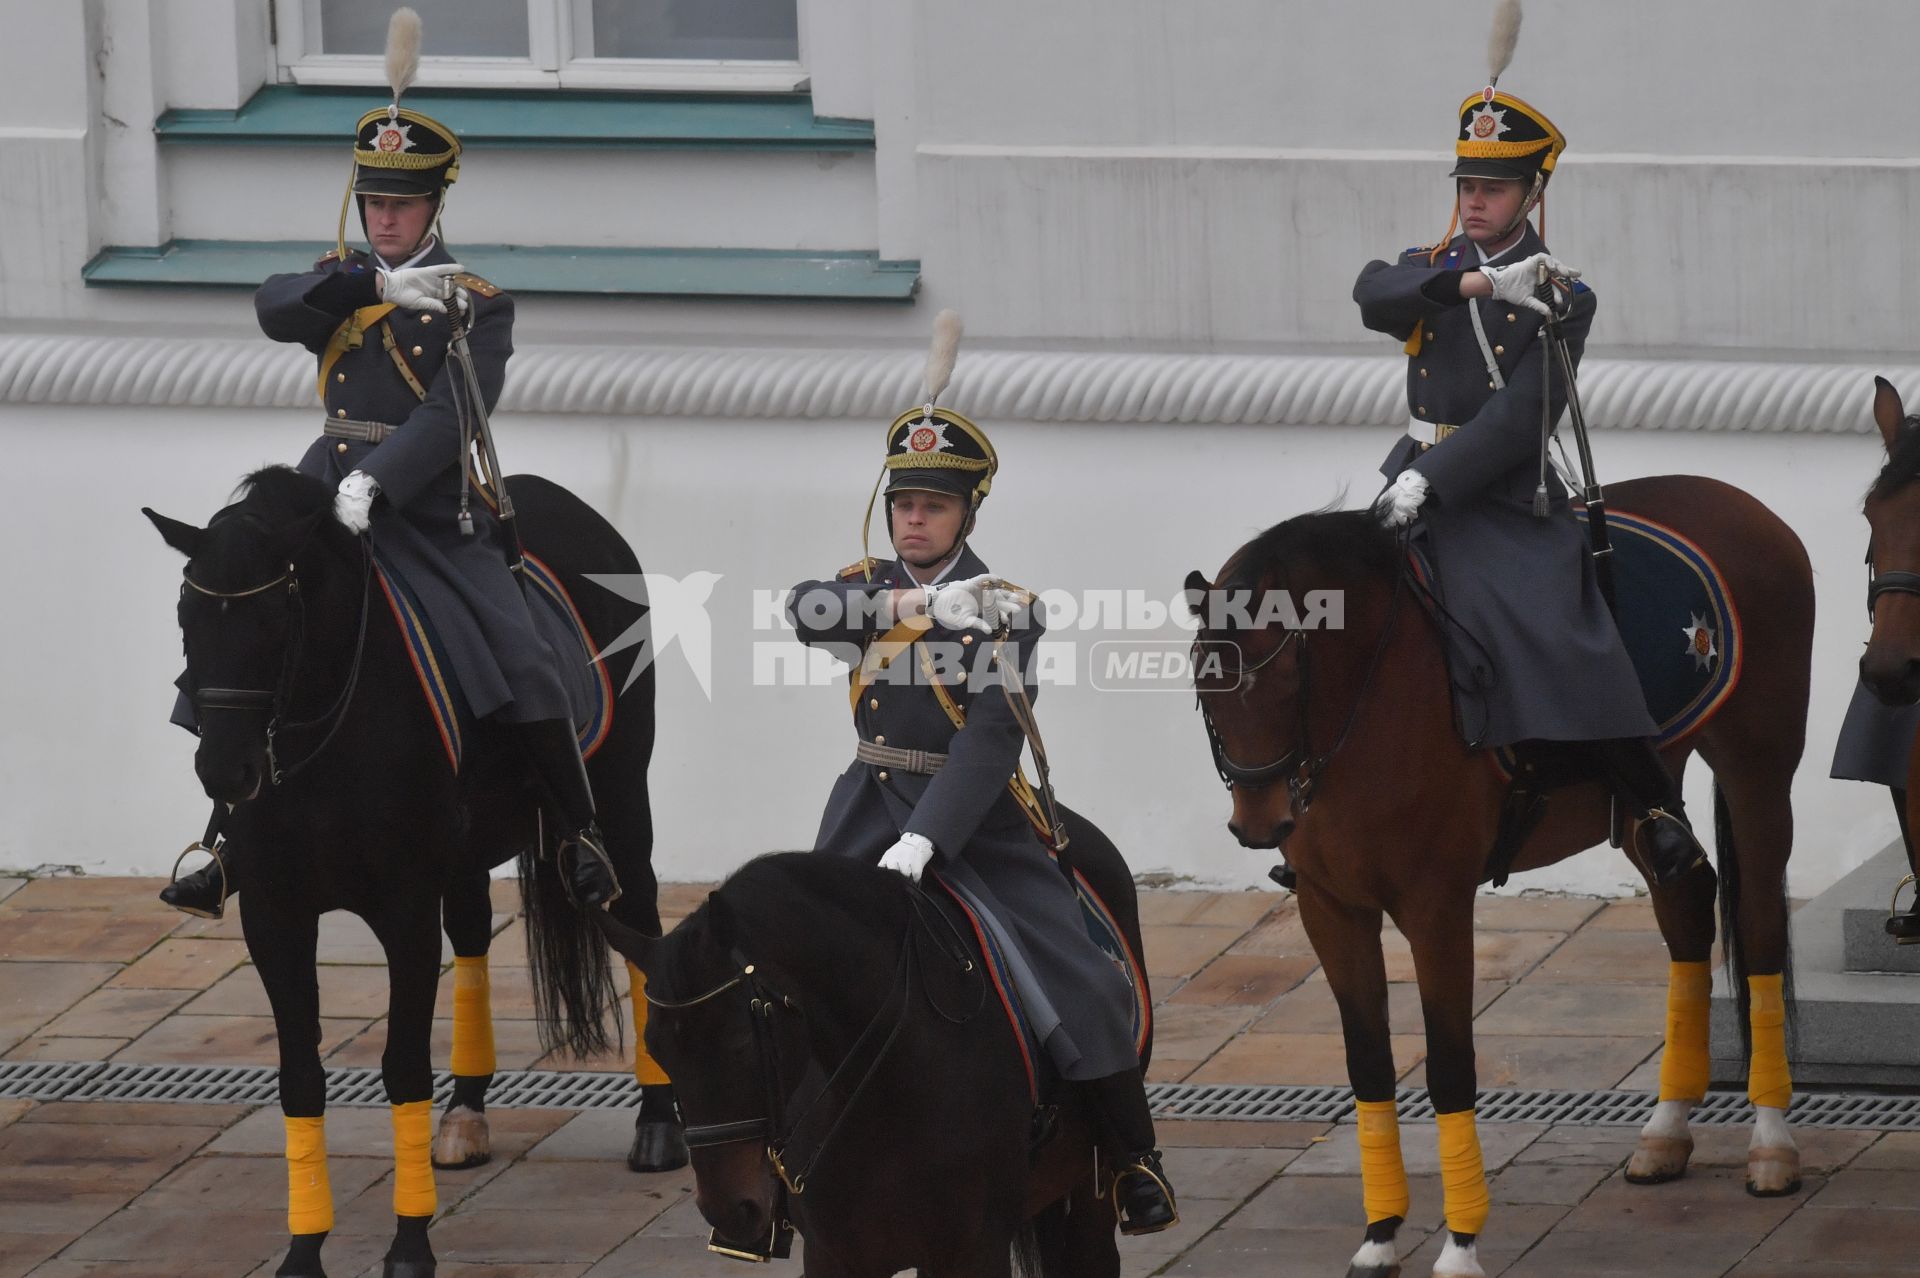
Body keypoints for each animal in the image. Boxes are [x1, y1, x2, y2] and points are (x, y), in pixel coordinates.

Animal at [151, 468, 691, 1274]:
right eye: (188, 618)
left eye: (275, 621)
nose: (225, 770)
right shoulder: (274, 915)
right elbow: (300, 1078)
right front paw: (304, 1249)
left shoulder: (402, 910)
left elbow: (403, 1067)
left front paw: (409, 1244)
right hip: (464, 854)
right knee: (471, 932)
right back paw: (466, 1110)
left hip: (623, 795)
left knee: (640, 917)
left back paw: (658, 1123)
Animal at [591, 817, 1144, 1274]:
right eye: (658, 1053)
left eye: (739, 1043)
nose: (730, 1211)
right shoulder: (835, 1255)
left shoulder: (970, 1251)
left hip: (1087, 1199)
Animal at [1182, 475, 1812, 1274]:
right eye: (1204, 685)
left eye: (1291, 674)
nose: (1258, 824)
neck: (1369, 700)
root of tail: (1736, 499)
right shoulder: (1331, 907)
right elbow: (1368, 1064)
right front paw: (1380, 1234)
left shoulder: (1437, 906)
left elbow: (1450, 1066)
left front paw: (1459, 1245)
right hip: (1653, 787)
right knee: (1687, 906)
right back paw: (1667, 1129)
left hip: (1758, 768)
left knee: (1758, 930)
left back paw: (1772, 1141)